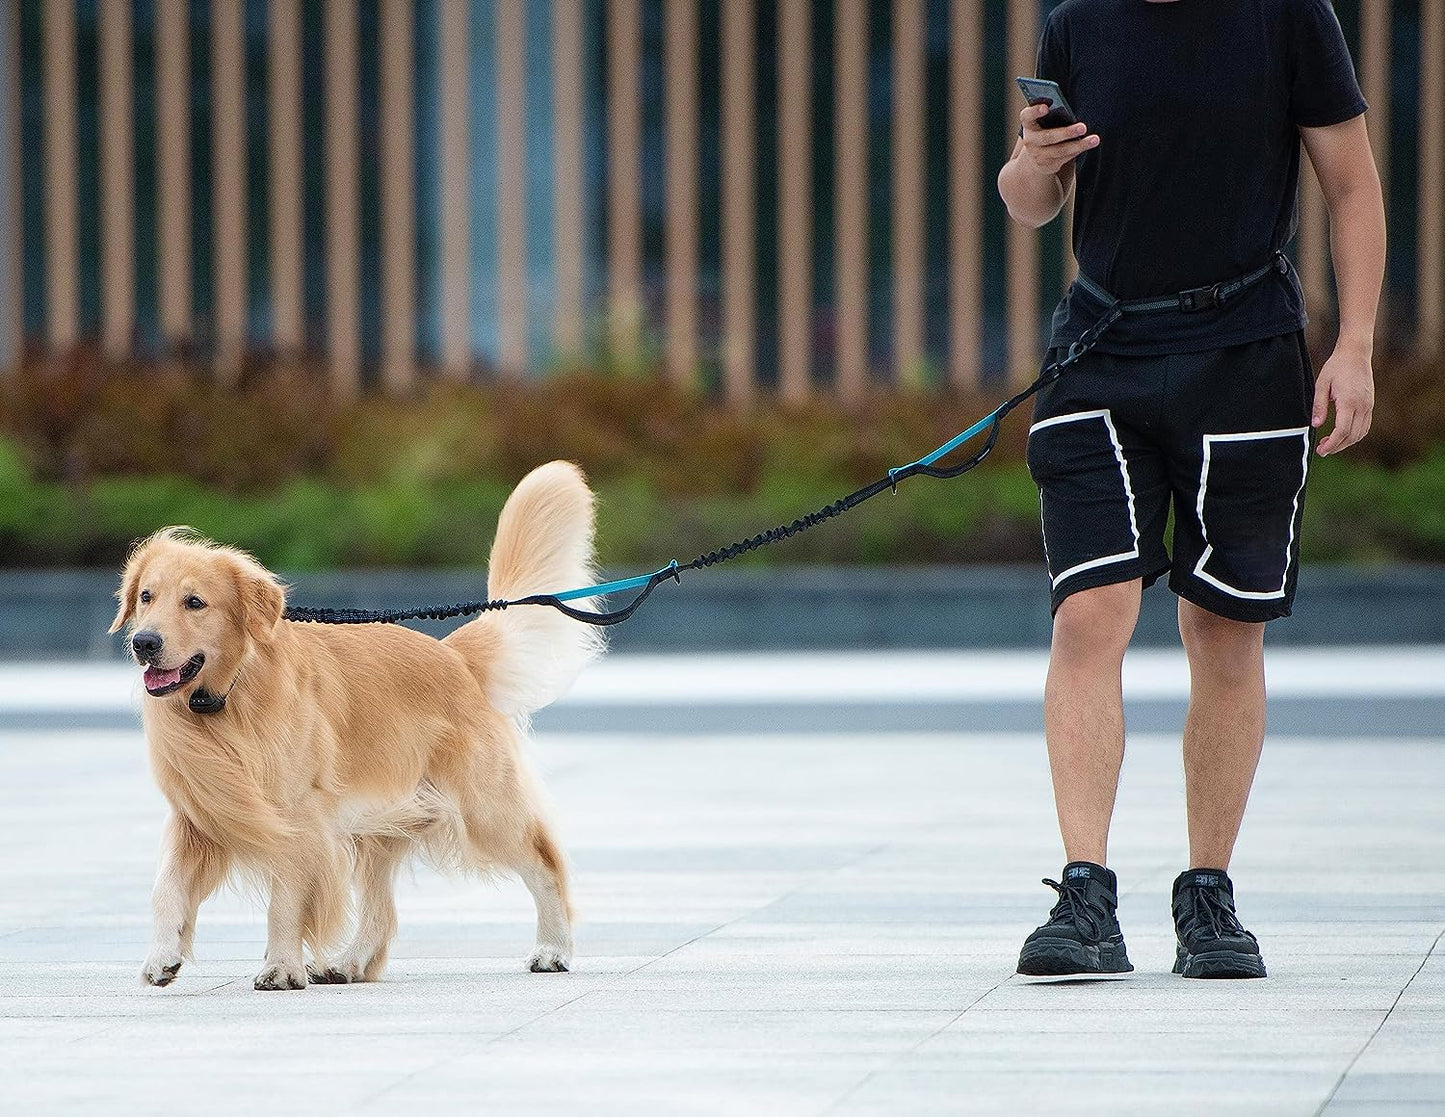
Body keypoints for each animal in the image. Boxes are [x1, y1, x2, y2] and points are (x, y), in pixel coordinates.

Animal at [109, 459, 601, 982]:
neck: (228, 699)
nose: (143, 642)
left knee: (545, 865)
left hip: (484, 806)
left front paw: (281, 967)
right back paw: (352, 961)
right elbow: (166, 887)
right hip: (377, 821)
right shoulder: (199, 812)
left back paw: (552, 949)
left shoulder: (297, 817)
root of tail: (454, 656)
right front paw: (163, 955)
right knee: (381, 907)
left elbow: (286, 898)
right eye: (146, 597)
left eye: (194, 602)